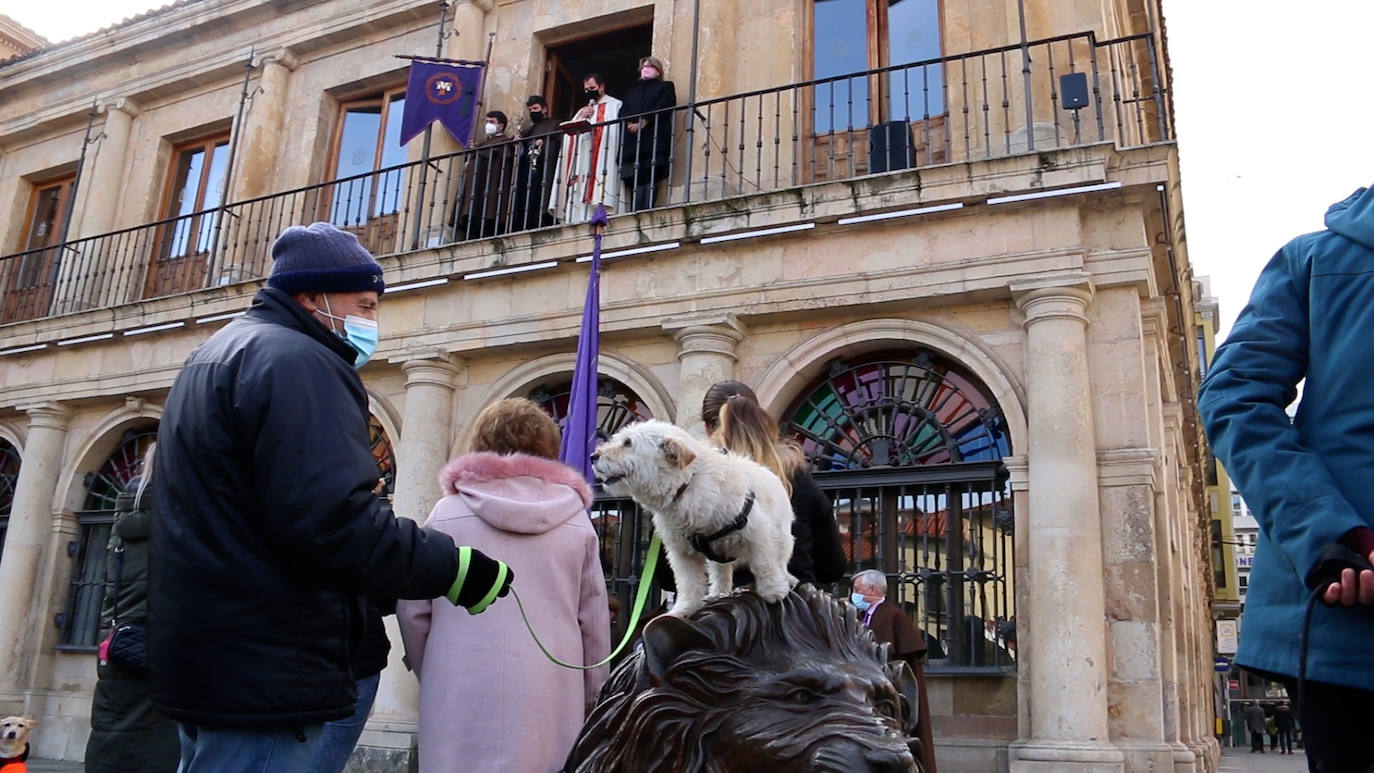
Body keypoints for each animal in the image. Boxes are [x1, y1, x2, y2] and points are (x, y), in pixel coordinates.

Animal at [590, 420, 796, 615]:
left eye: (628, 443)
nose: (593, 456)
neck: (686, 485)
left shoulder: (757, 533)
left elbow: (764, 563)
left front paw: (773, 589)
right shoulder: (682, 553)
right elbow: (688, 584)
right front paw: (684, 610)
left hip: (782, 538)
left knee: (779, 561)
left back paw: (786, 579)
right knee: (721, 571)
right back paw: (718, 592)